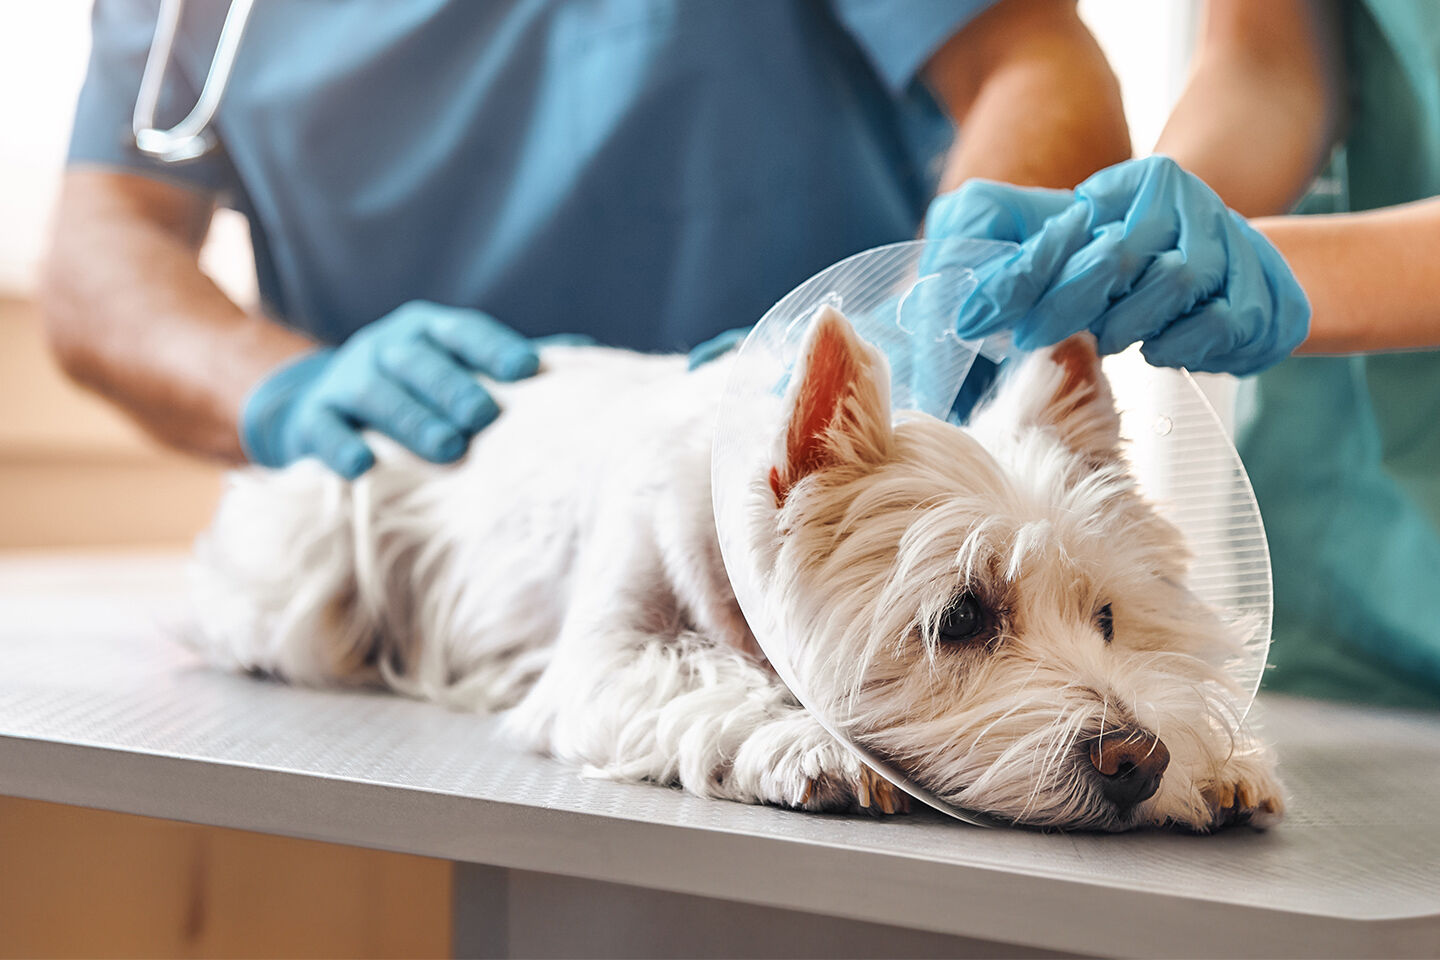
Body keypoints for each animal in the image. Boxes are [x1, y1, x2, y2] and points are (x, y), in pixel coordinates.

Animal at [188, 309, 1284, 834]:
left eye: (1108, 619)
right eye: (964, 617)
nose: (1138, 761)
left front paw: (1223, 762)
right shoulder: (603, 660)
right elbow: (702, 676)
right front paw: (813, 746)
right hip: (316, 547)